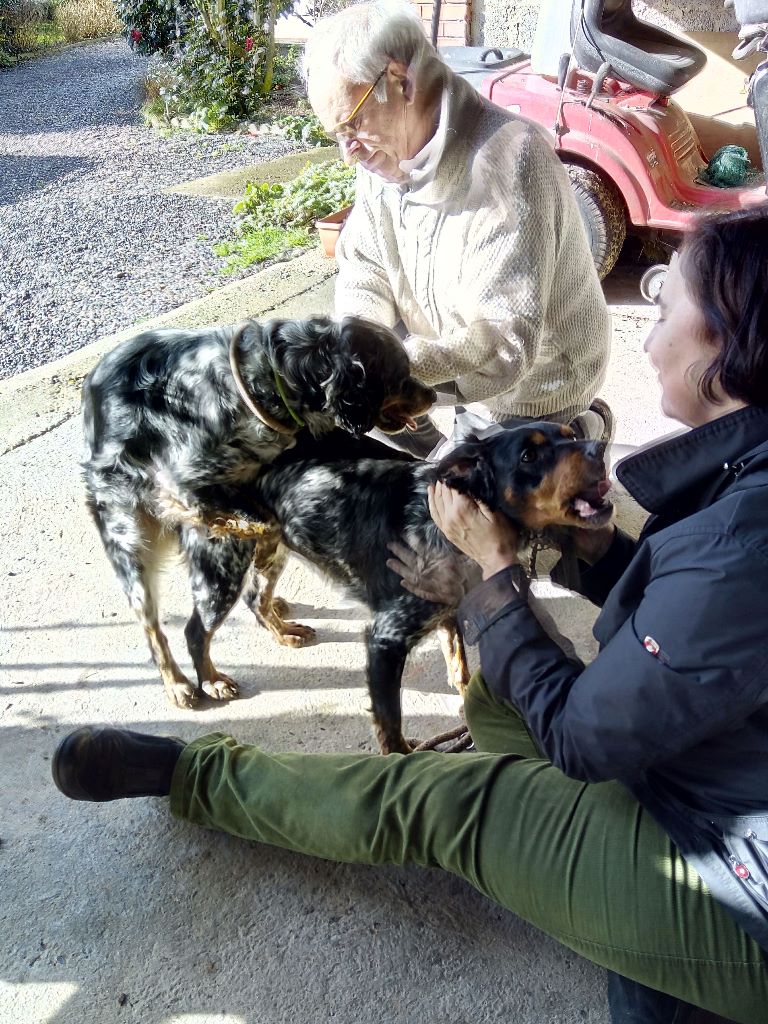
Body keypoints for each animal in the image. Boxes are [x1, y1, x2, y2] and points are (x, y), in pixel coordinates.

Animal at [82, 315, 438, 708]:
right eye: (399, 375)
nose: (433, 395)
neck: (274, 374)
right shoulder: (182, 481)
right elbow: (251, 520)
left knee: (254, 596)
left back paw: (281, 627)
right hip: (145, 554)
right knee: (171, 630)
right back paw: (193, 681)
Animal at [201, 421, 618, 753]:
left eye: (571, 435)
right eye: (529, 455)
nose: (600, 448)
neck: (441, 526)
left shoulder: (449, 611)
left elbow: (460, 668)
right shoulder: (385, 638)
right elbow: (390, 721)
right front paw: (403, 761)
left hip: (271, 547)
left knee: (256, 598)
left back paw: (283, 630)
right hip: (222, 563)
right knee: (197, 630)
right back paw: (205, 685)